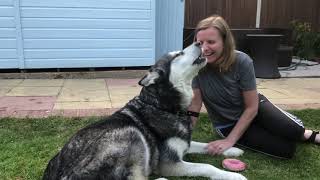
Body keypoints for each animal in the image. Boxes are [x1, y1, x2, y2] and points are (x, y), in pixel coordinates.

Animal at [43, 42, 245, 180]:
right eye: (178, 54)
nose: (199, 42)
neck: (163, 106)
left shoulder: (184, 144)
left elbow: (205, 145)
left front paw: (229, 148)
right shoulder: (170, 164)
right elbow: (206, 166)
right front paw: (233, 176)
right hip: (132, 135)